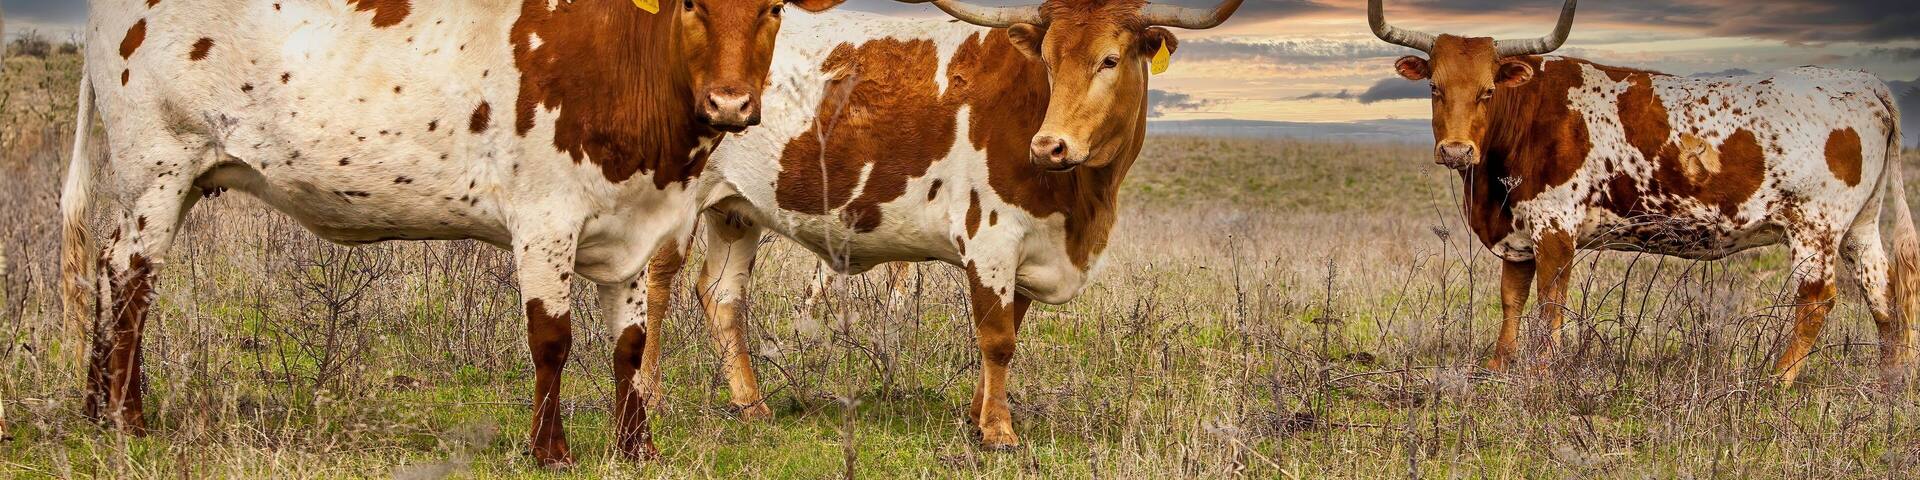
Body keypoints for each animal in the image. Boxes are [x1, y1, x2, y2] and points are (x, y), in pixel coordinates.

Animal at [57, 0, 843, 466]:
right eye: (690, 4)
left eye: (772, 7)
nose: (730, 103)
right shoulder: (545, 219)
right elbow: (552, 340)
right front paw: (551, 451)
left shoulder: (635, 228)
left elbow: (627, 346)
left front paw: (634, 450)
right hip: (158, 167)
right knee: (131, 279)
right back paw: (127, 419)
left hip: (175, 178)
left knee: (107, 267)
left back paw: (96, 410)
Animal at [620, 0, 1244, 450]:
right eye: (1047, 59)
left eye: (1110, 60)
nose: (1050, 145)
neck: (1084, 204)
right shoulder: (991, 237)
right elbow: (997, 338)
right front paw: (998, 433)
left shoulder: (1027, 253)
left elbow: (1008, 331)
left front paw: (979, 415)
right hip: (680, 194)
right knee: (659, 283)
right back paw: (650, 393)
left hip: (735, 209)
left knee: (721, 295)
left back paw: (751, 405)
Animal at [1368, 0, 1914, 384]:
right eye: (1435, 88)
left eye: (1487, 91)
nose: (1456, 151)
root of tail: (1861, 82)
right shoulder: (1517, 231)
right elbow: (1511, 299)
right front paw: (1499, 366)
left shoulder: (1554, 227)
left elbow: (1549, 301)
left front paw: (1541, 371)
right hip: (1859, 224)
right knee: (1882, 290)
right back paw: (1889, 380)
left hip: (1814, 227)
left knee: (1818, 299)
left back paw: (1776, 380)